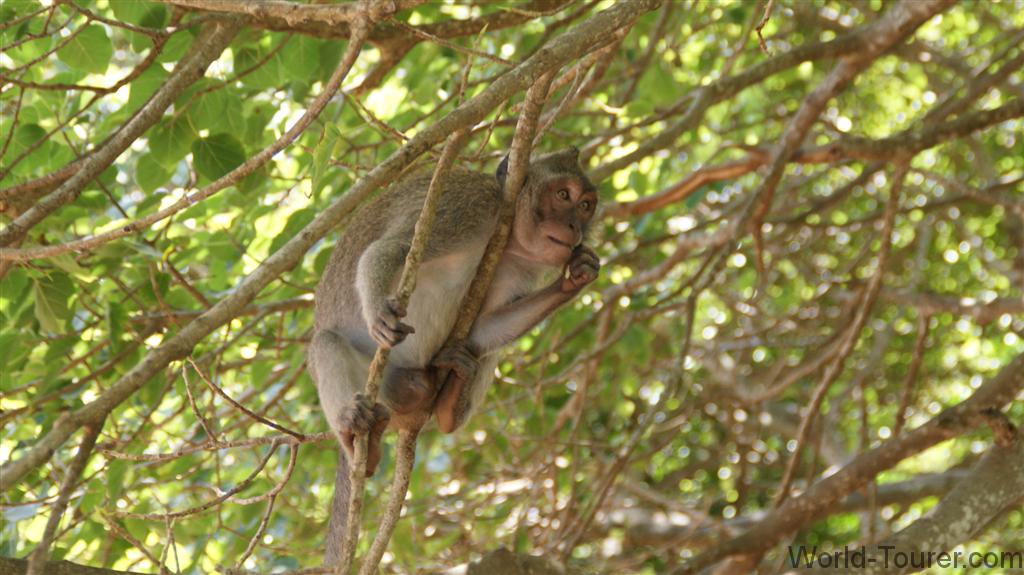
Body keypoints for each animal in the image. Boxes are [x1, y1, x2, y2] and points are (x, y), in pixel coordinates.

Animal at [308, 147, 600, 564]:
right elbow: (391, 250)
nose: (574, 227)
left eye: (587, 205)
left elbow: (483, 330)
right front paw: (379, 310)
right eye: (563, 195)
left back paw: (447, 402)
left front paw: (575, 278)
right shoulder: (466, 206)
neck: (506, 234)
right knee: (326, 342)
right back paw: (358, 440)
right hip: (381, 387)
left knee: (475, 351)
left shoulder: (517, 265)